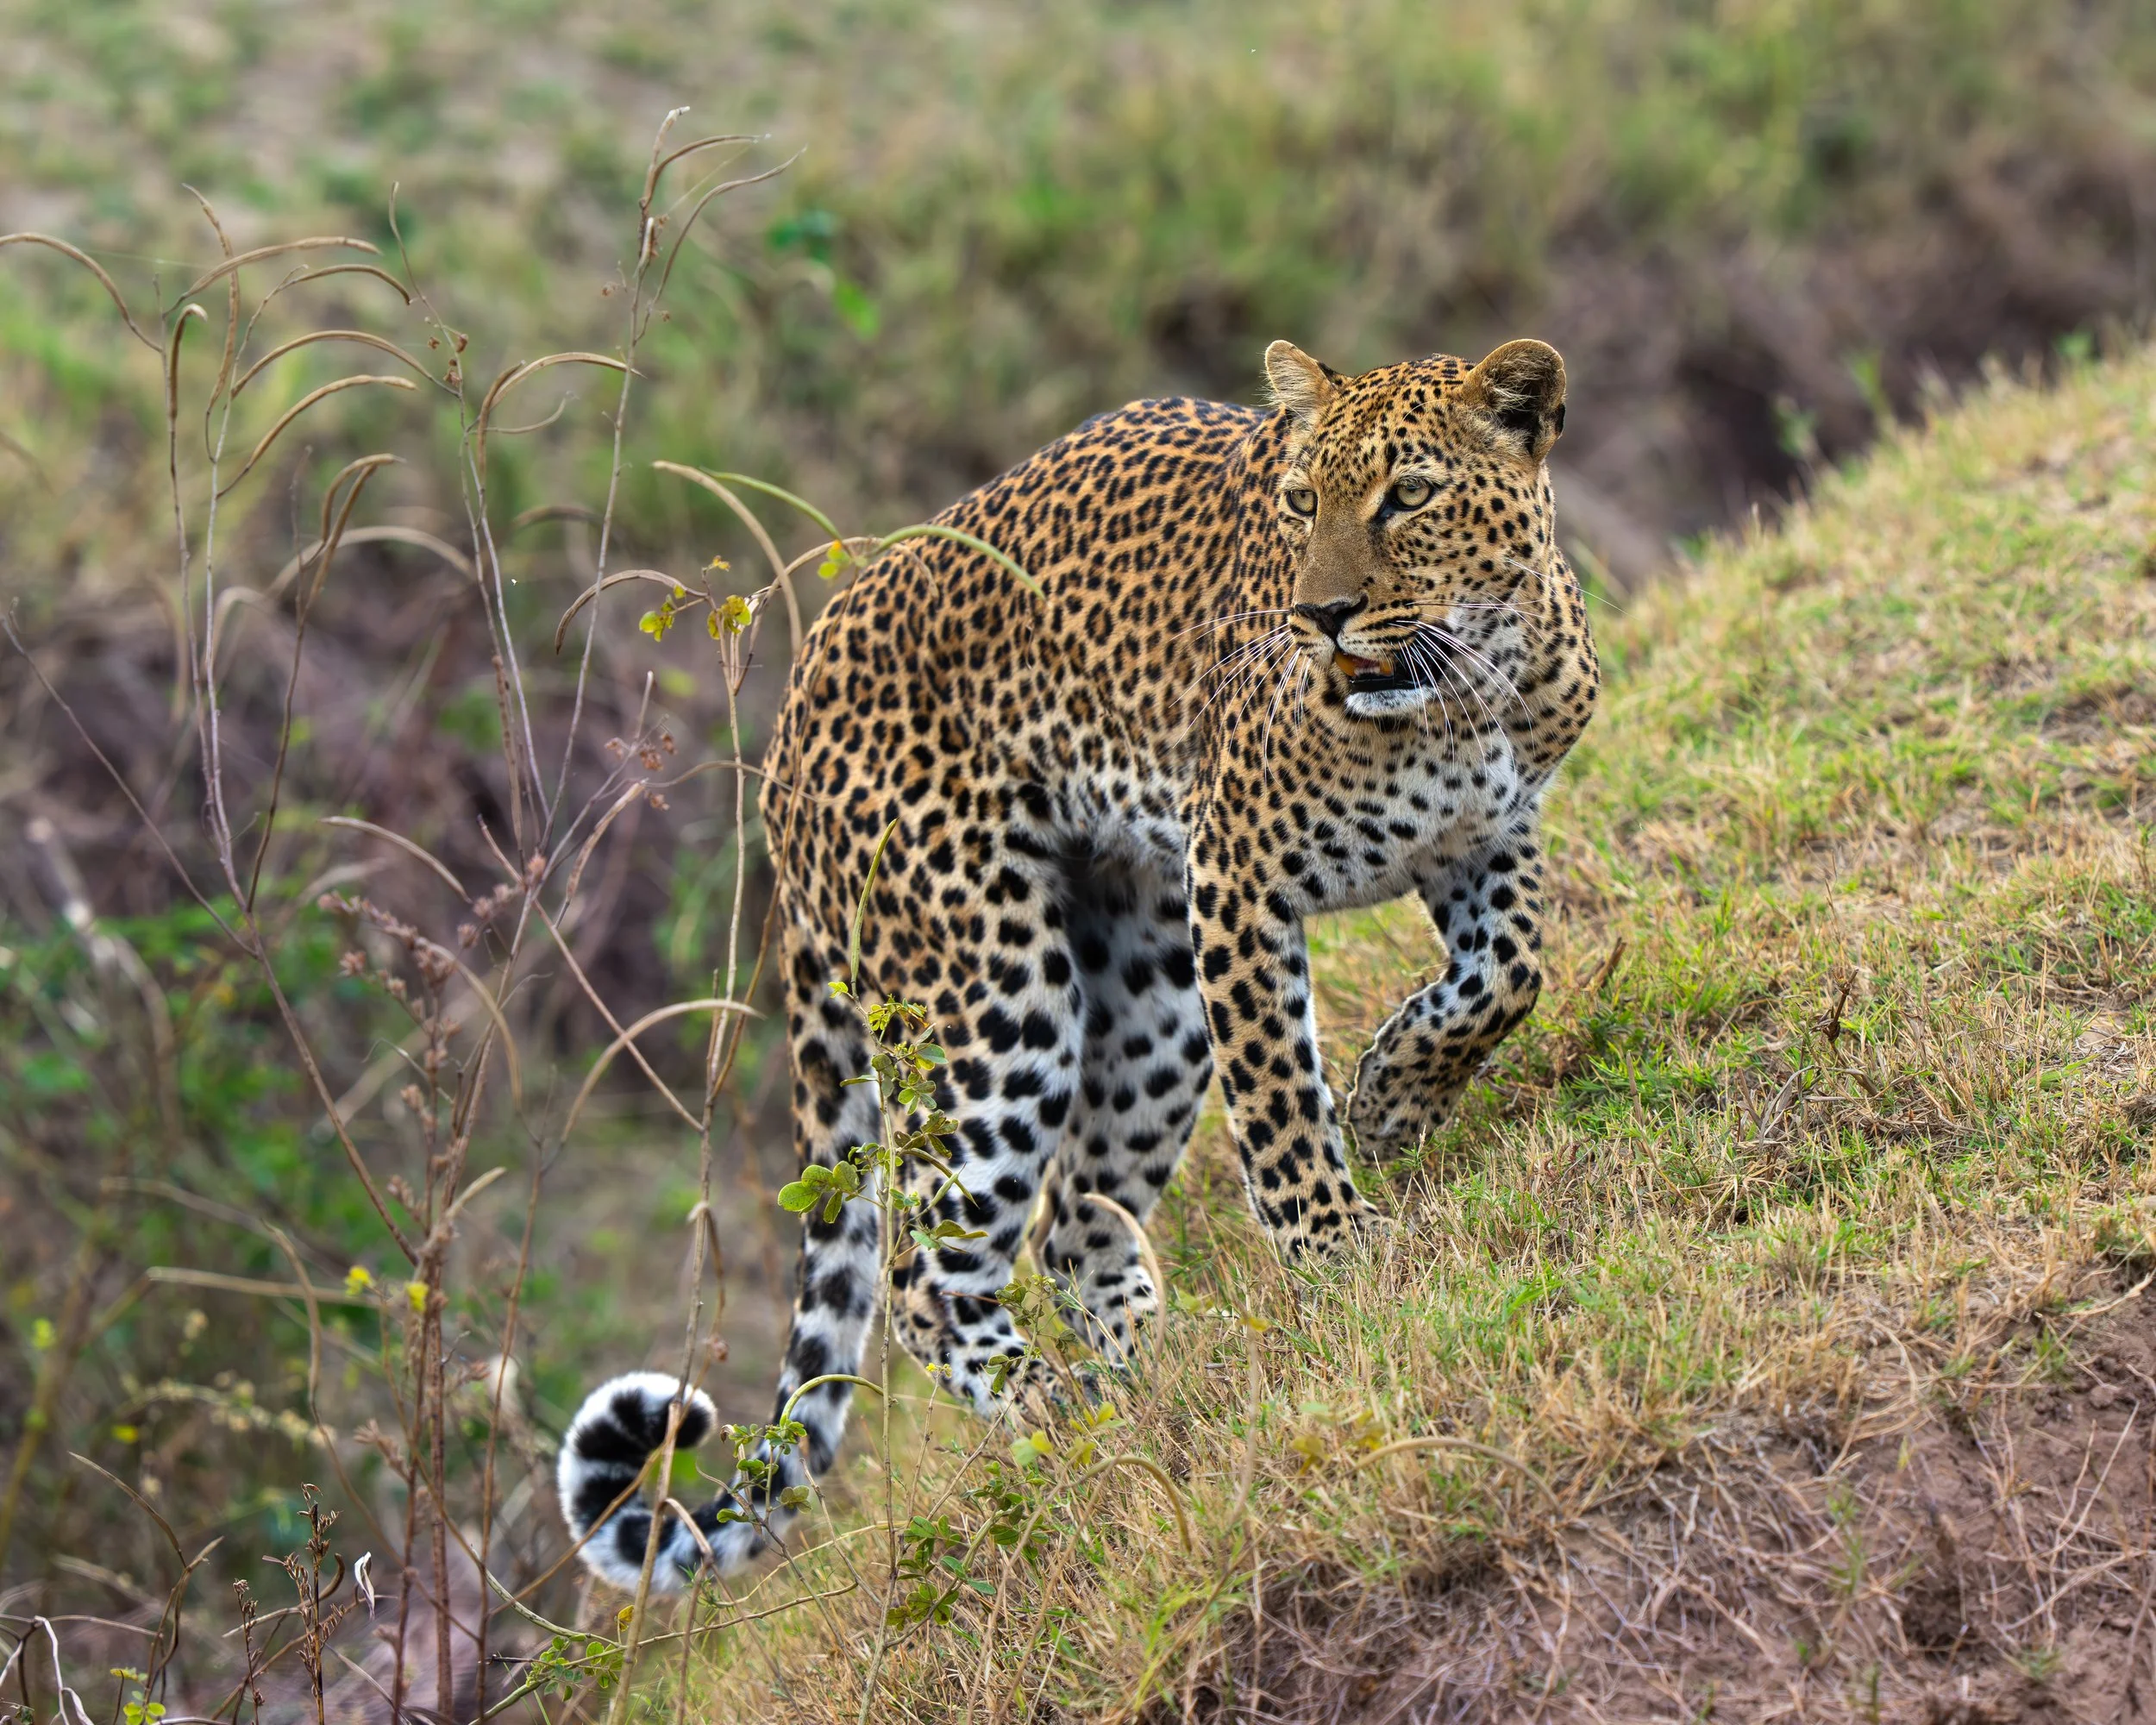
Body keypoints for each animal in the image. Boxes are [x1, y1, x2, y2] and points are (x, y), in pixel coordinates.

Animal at [556, 337, 1599, 1590]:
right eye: (1304, 502)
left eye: (1409, 496)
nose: (1324, 613)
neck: (1467, 689)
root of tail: (785, 735)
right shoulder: (1238, 873)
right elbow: (1281, 1104)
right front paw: (1340, 1256)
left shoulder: (1488, 835)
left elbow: (1509, 972)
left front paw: (1394, 1097)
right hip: (996, 989)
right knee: (924, 1270)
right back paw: (1053, 1410)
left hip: (1153, 994)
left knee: (1067, 1226)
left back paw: (1153, 1376)